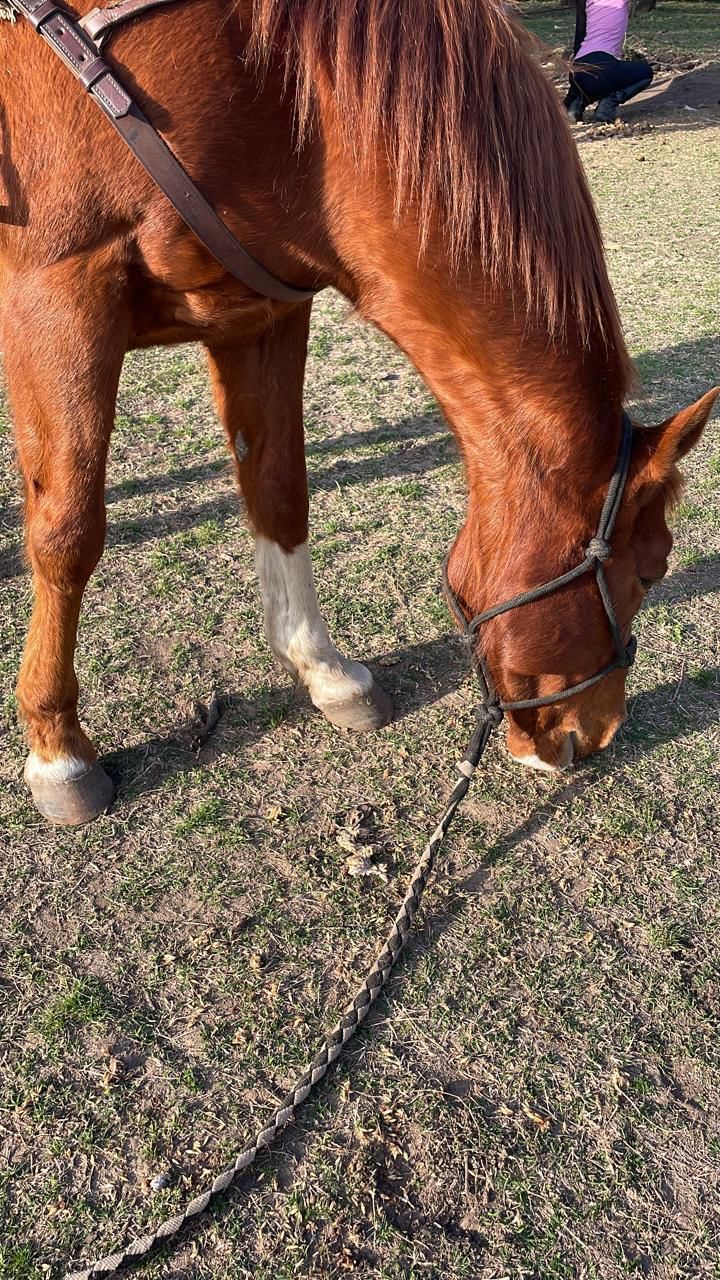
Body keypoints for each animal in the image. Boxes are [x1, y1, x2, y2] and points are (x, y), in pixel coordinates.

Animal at [0, 0, 716, 826]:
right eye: (653, 571)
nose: (595, 736)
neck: (279, 91)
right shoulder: (59, 297)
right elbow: (67, 535)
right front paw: (58, 746)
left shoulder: (255, 314)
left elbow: (279, 491)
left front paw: (321, 667)